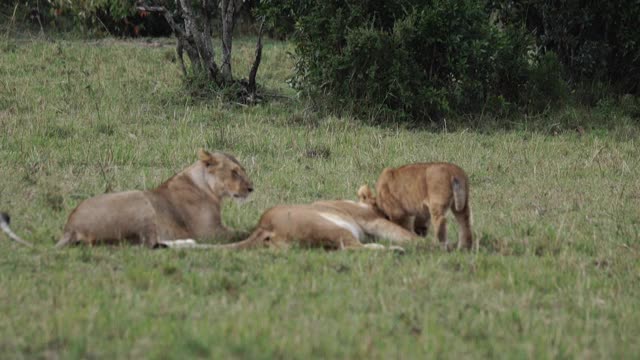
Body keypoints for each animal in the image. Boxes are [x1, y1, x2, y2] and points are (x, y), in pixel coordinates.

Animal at [55, 149, 254, 248]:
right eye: (234, 172)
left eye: (243, 170)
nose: (252, 188)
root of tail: (70, 227)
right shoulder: (208, 232)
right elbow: (240, 232)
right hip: (139, 200)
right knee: (149, 245)